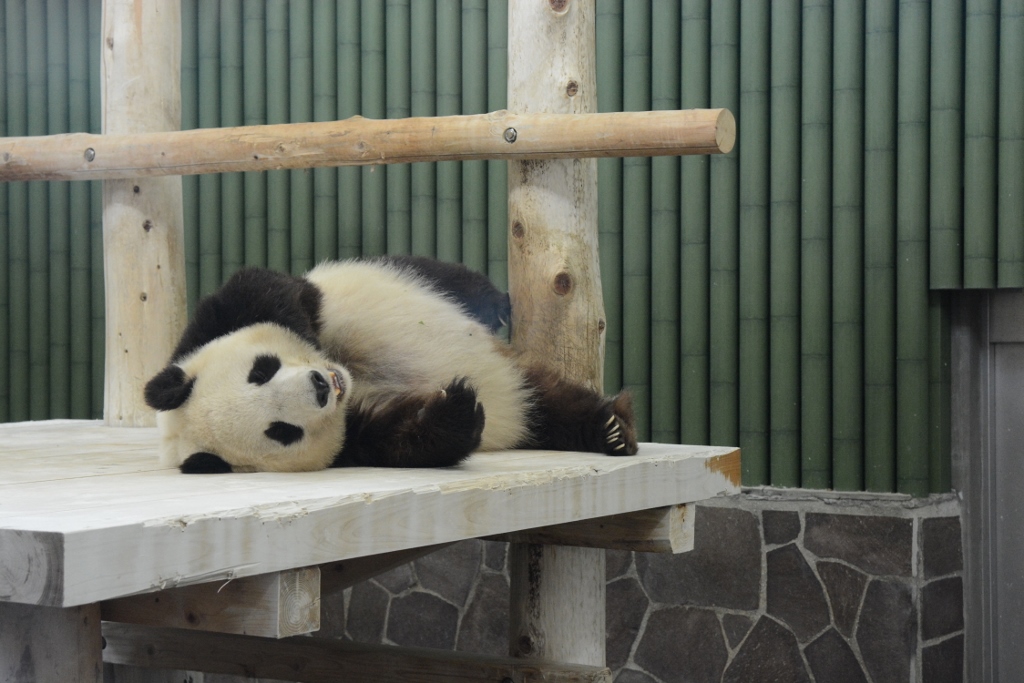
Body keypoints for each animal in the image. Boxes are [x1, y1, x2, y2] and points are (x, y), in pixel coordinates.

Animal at [142, 253, 638, 473]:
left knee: (435, 275)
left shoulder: (210, 326)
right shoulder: (354, 440)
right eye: (282, 431)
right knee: (550, 408)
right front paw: (456, 407)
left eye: (261, 370)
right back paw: (608, 429)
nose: (321, 385)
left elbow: (272, 291)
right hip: (526, 397)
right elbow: (403, 439)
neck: (352, 380)